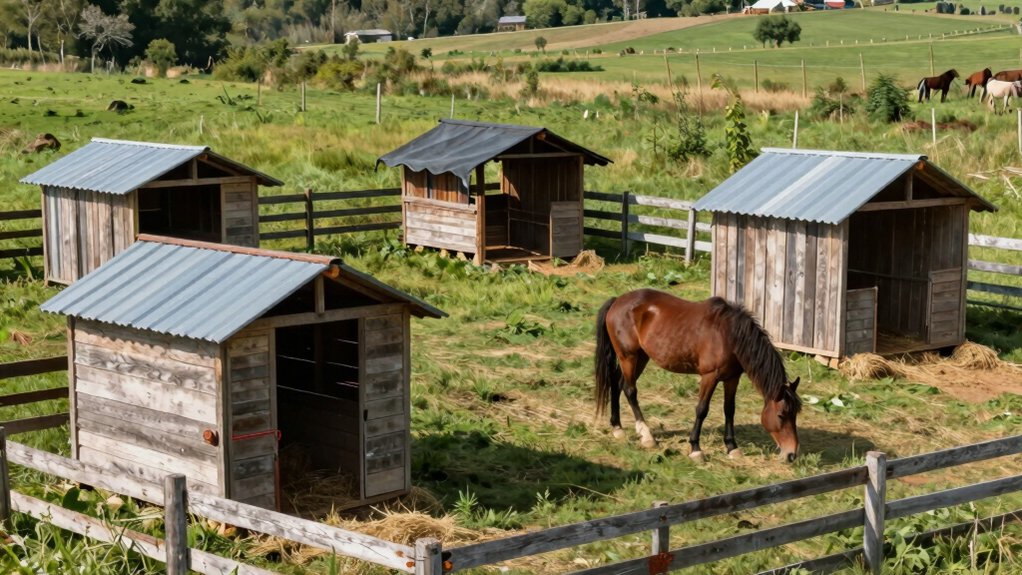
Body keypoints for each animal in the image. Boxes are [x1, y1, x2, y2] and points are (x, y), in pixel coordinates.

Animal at [594, 289, 802, 462]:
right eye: (782, 415)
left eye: (795, 414)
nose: (791, 454)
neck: (728, 334)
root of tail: (617, 301)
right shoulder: (709, 376)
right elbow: (702, 409)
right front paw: (695, 449)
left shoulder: (732, 378)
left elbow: (729, 410)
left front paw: (732, 447)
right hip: (628, 357)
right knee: (630, 390)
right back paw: (646, 436)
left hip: (640, 357)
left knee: (617, 384)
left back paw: (617, 428)